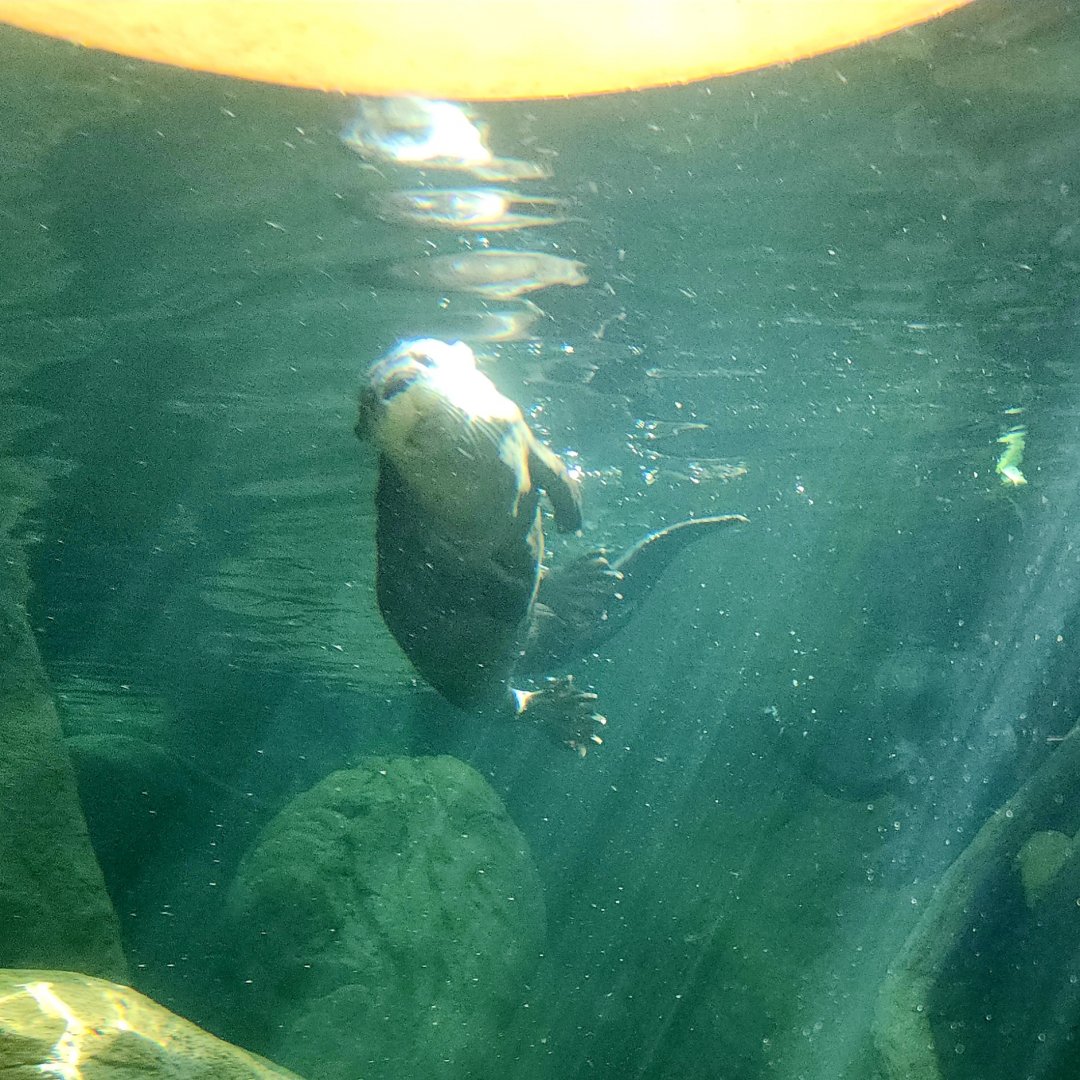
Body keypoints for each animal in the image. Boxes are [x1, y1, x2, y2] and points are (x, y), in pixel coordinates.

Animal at [358, 338, 746, 752]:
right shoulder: (420, 531)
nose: (395, 383)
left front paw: (571, 511)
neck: (478, 485)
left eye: (424, 359)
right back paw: (563, 704)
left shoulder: (516, 428)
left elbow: (550, 468)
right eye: (368, 398)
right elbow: (452, 575)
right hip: (467, 686)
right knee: (502, 706)